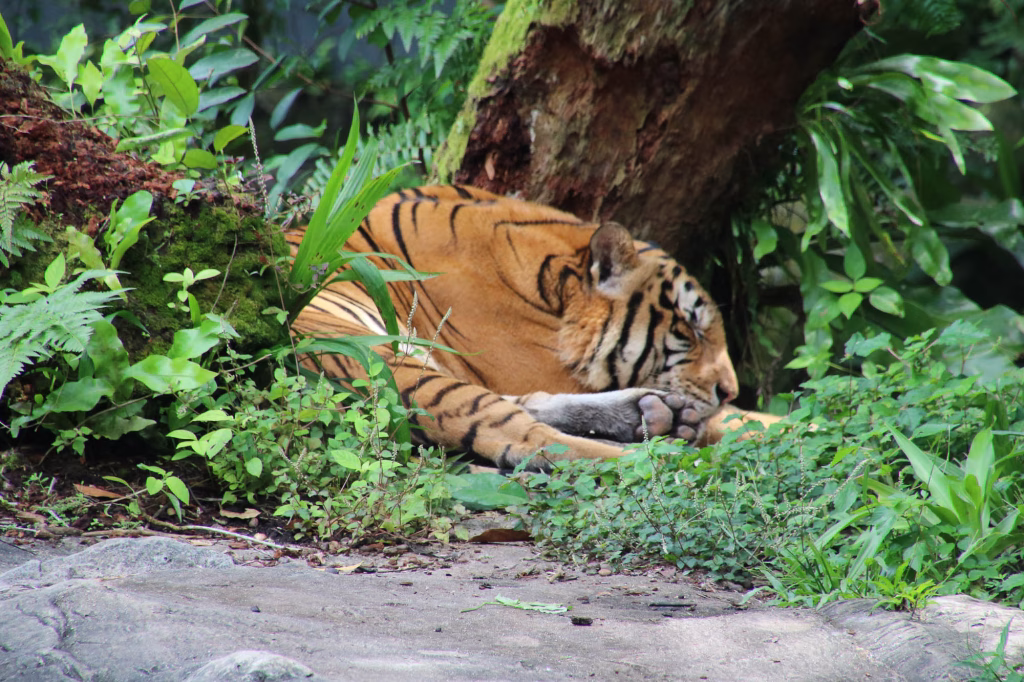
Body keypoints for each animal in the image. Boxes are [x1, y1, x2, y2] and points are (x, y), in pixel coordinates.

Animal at [289, 185, 780, 469]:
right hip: (379, 361)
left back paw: (657, 413)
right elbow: (748, 421)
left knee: (530, 408)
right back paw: (667, 457)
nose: (729, 390)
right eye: (692, 327)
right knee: (530, 437)